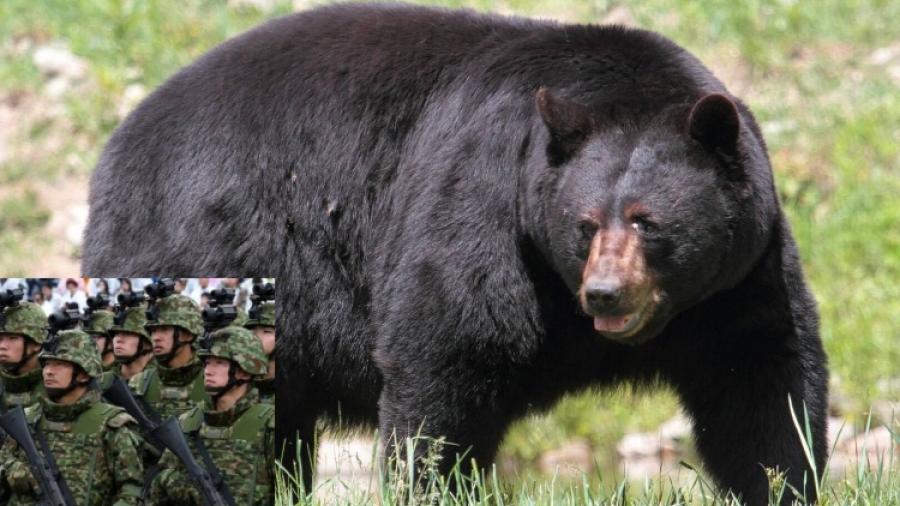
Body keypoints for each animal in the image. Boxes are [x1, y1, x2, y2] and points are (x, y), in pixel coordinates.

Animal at [81, 3, 829, 505]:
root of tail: (117, 146)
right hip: (204, 239)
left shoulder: (741, 274)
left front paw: (782, 481)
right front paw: (429, 482)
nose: (605, 294)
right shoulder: (484, 203)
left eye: (647, 222)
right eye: (585, 224)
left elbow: (762, 381)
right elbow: (447, 350)